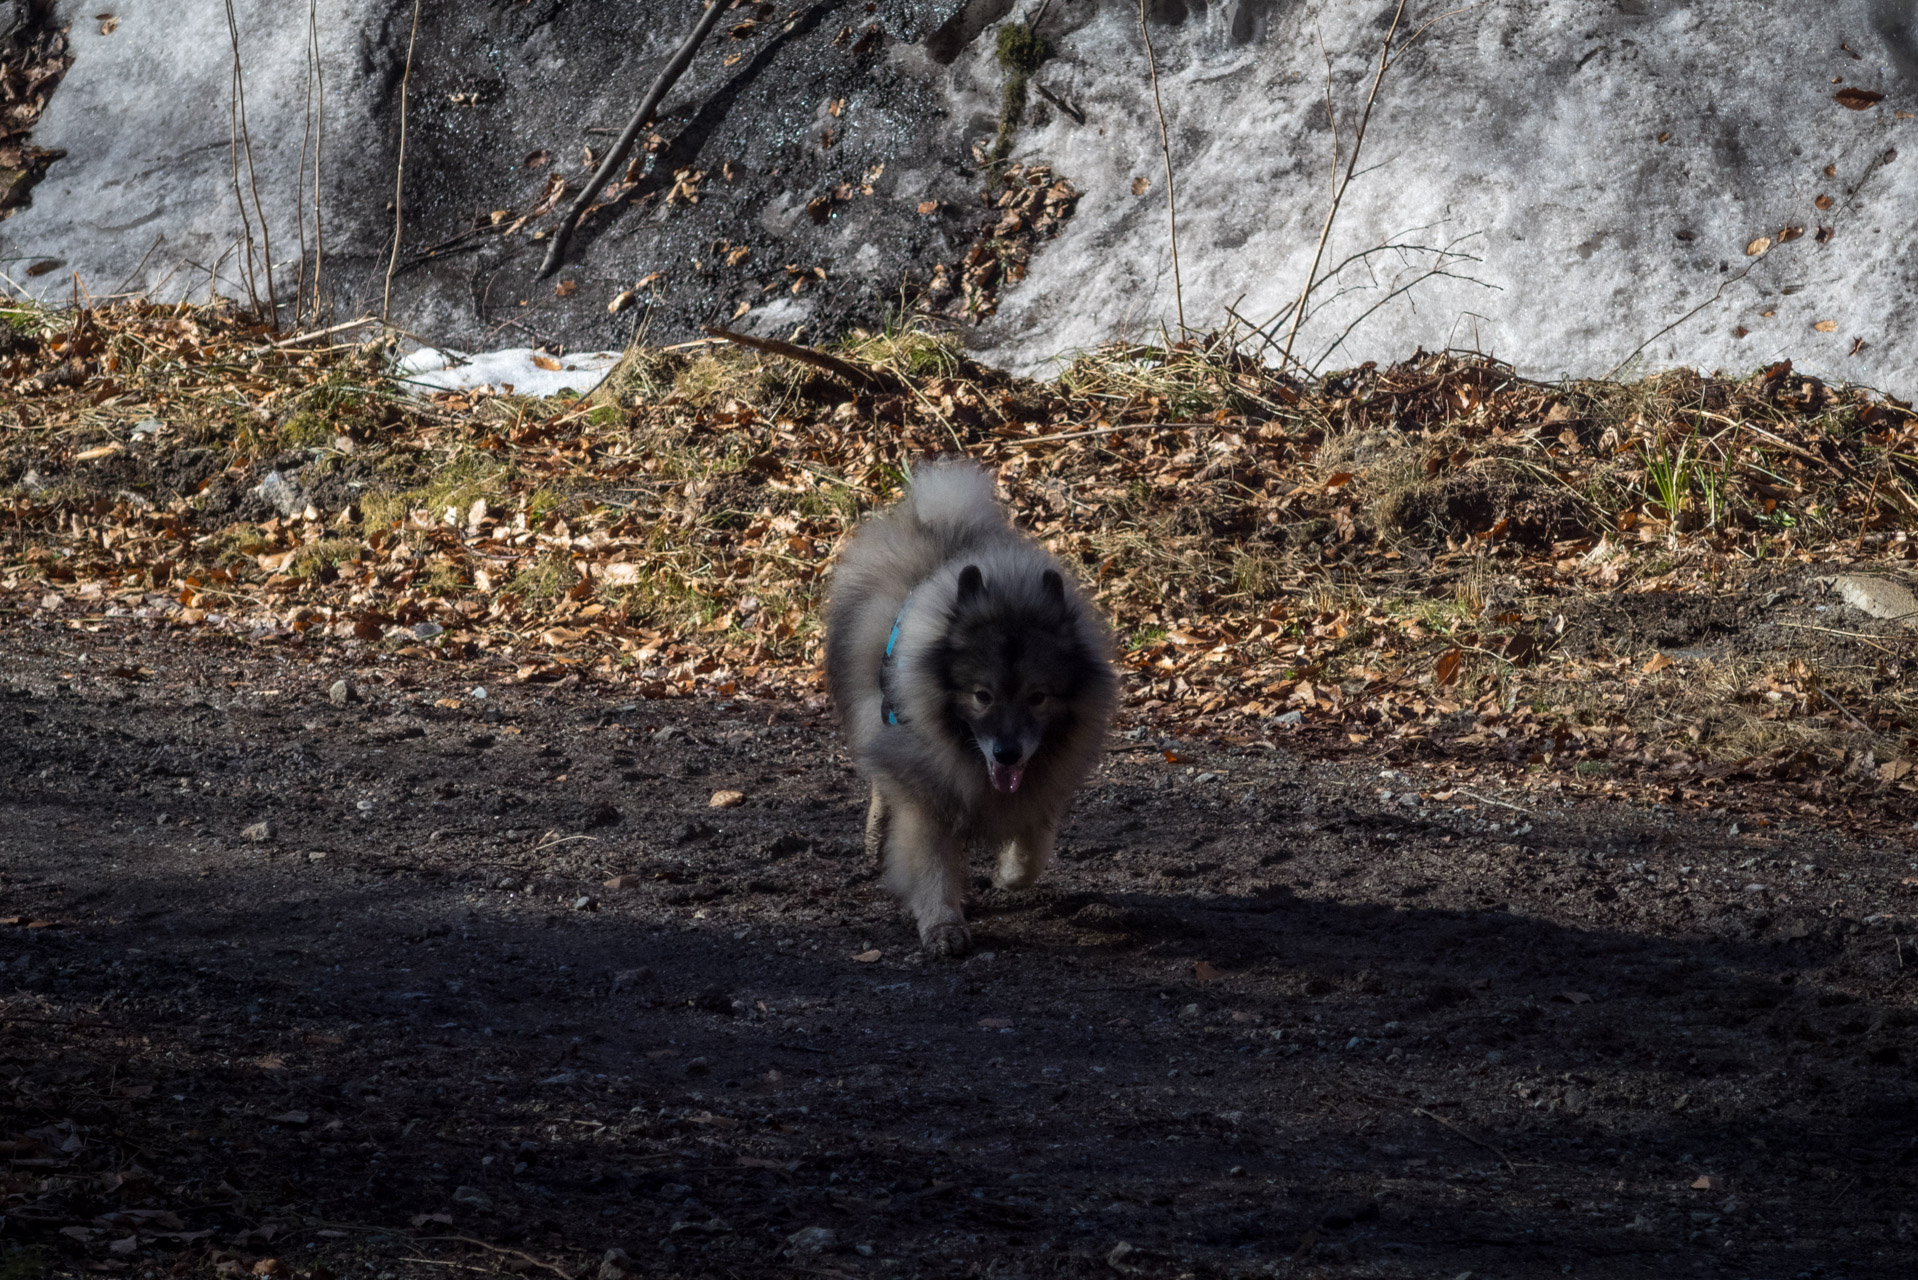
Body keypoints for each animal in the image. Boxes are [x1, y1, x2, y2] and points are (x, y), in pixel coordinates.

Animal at [828, 458, 1120, 951]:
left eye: (1038, 697)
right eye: (982, 696)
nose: (1007, 753)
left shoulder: (1041, 787)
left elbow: (1033, 846)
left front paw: (1009, 876)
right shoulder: (925, 790)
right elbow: (931, 864)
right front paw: (942, 924)